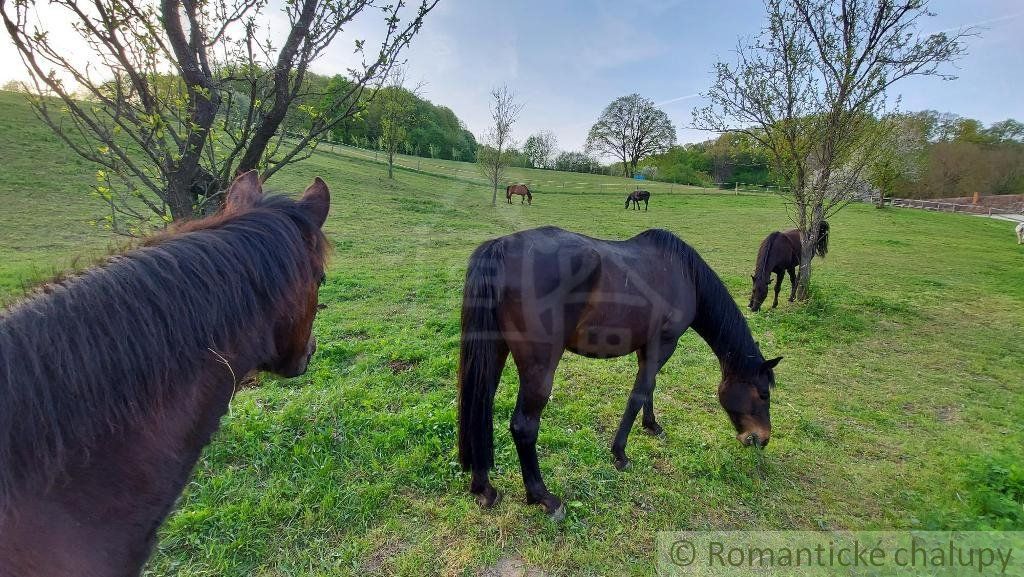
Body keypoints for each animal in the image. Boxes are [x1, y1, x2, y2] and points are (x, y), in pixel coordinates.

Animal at [460, 225, 778, 518]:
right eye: (763, 394)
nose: (762, 439)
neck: (686, 275)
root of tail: (500, 249)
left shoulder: (647, 348)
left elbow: (649, 388)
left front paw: (651, 426)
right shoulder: (664, 344)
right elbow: (638, 394)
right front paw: (620, 454)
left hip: (494, 352)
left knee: (478, 407)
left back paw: (484, 489)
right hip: (540, 368)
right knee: (524, 426)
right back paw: (544, 497)